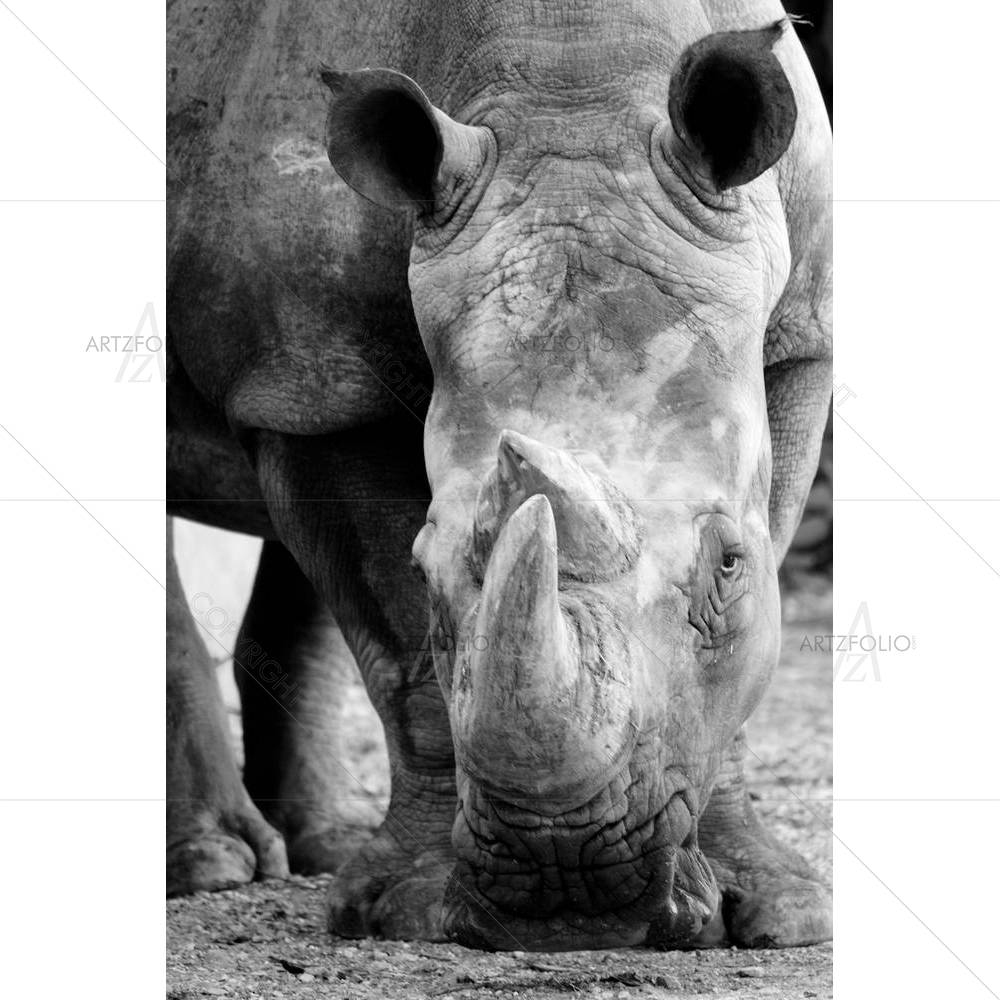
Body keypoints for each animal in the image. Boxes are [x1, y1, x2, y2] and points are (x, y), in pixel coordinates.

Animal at [167, 0, 832, 951]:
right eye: (426, 569)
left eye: (727, 564)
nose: (569, 888)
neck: (576, 87)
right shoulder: (311, 378)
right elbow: (401, 650)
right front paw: (409, 909)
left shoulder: (799, 337)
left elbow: (752, 625)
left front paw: (778, 909)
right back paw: (213, 868)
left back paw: (318, 848)